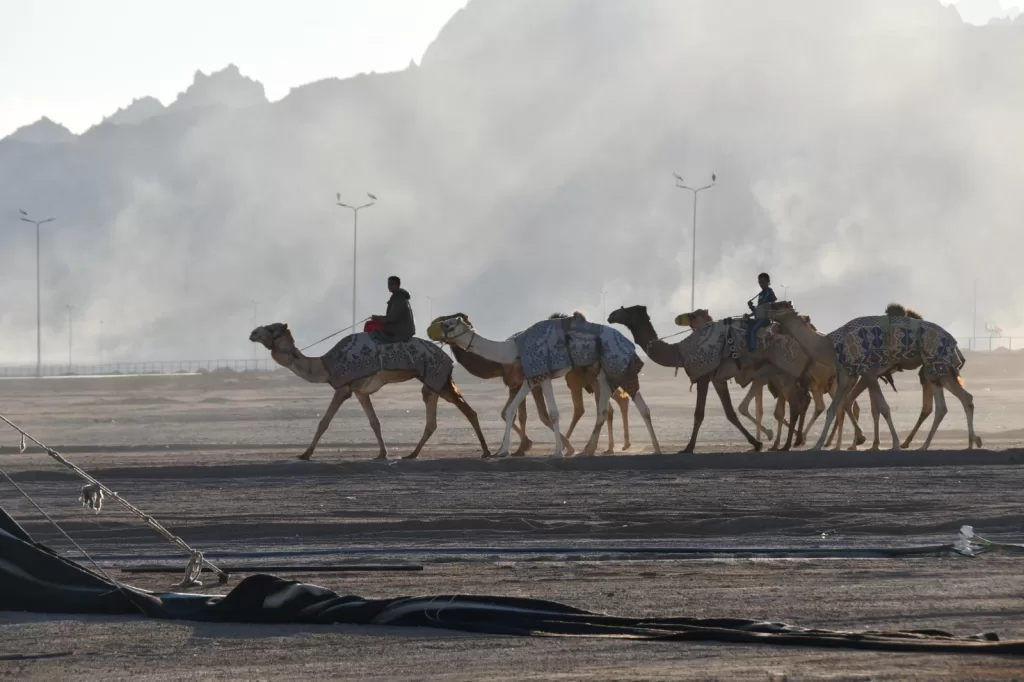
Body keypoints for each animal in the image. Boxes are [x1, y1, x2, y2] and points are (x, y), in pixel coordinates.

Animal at [247, 323, 487, 458]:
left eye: (271, 328)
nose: (252, 333)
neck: (324, 365)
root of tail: (448, 357)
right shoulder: (360, 391)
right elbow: (374, 422)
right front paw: (382, 453)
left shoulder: (344, 387)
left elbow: (324, 422)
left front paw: (305, 454)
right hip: (440, 381)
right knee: (461, 412)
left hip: (434, 377)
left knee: (449, 413)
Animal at [425, 313, 659, 456]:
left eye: (447, 324)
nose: (429, 330)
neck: (513, 348)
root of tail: (629, 344)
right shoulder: (533, 377)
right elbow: (512, 410)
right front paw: (504, 451)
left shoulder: (542, 373)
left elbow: (552, 413)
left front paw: (557, 452)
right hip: (608, 371)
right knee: (633, 407)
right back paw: (651, 448)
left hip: (612, 365)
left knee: (619, 407)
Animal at [770, 303, 978, 450]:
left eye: (775, 306)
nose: (771, 328)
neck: (828, 346)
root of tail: (954, 343)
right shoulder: (854, 375)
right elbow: (844, 407)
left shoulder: (866, 372)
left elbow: (880, 408)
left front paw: (889, 443)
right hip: (935, 370)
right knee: (955, 401)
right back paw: (962, 443)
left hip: (936, 366)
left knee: (947, 403)